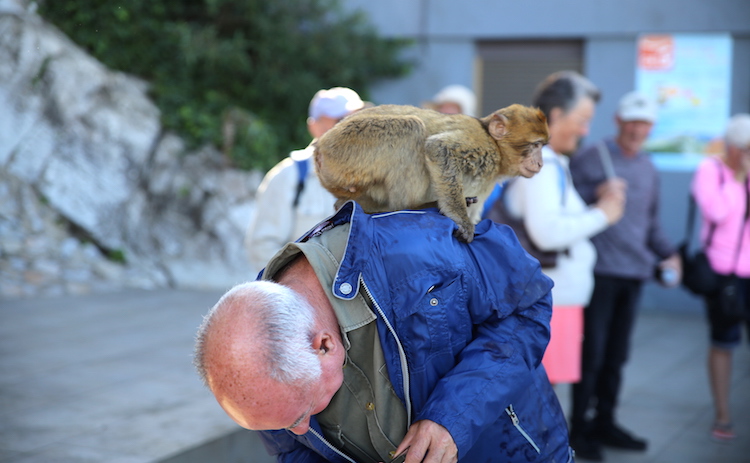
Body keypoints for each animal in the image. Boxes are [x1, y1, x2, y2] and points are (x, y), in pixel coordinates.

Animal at [314, 104, 548, 245]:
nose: (540, 163)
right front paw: (460, 218)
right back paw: (411, 206)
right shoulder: (481, 144)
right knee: (411, 129)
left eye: (542, 146)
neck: (497, 148)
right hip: (346, 147)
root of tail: (319, 147)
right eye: (535, 145)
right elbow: (439, 148)